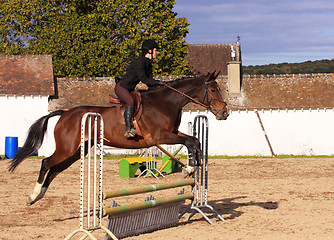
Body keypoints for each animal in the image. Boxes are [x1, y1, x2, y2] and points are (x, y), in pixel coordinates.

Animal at [7, 70, 228, 205]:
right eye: (213, 89)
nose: (224, 113)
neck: (165, 102)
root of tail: (64, 114)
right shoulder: (159, 137)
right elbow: (189, 141)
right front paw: (189, 168)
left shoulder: (172, 133)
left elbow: (194, 141)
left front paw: (193, 166)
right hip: (66, 149)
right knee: (46, 163)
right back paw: (32, 195)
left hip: (77, 152)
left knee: (54, 170)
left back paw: (39, 195)